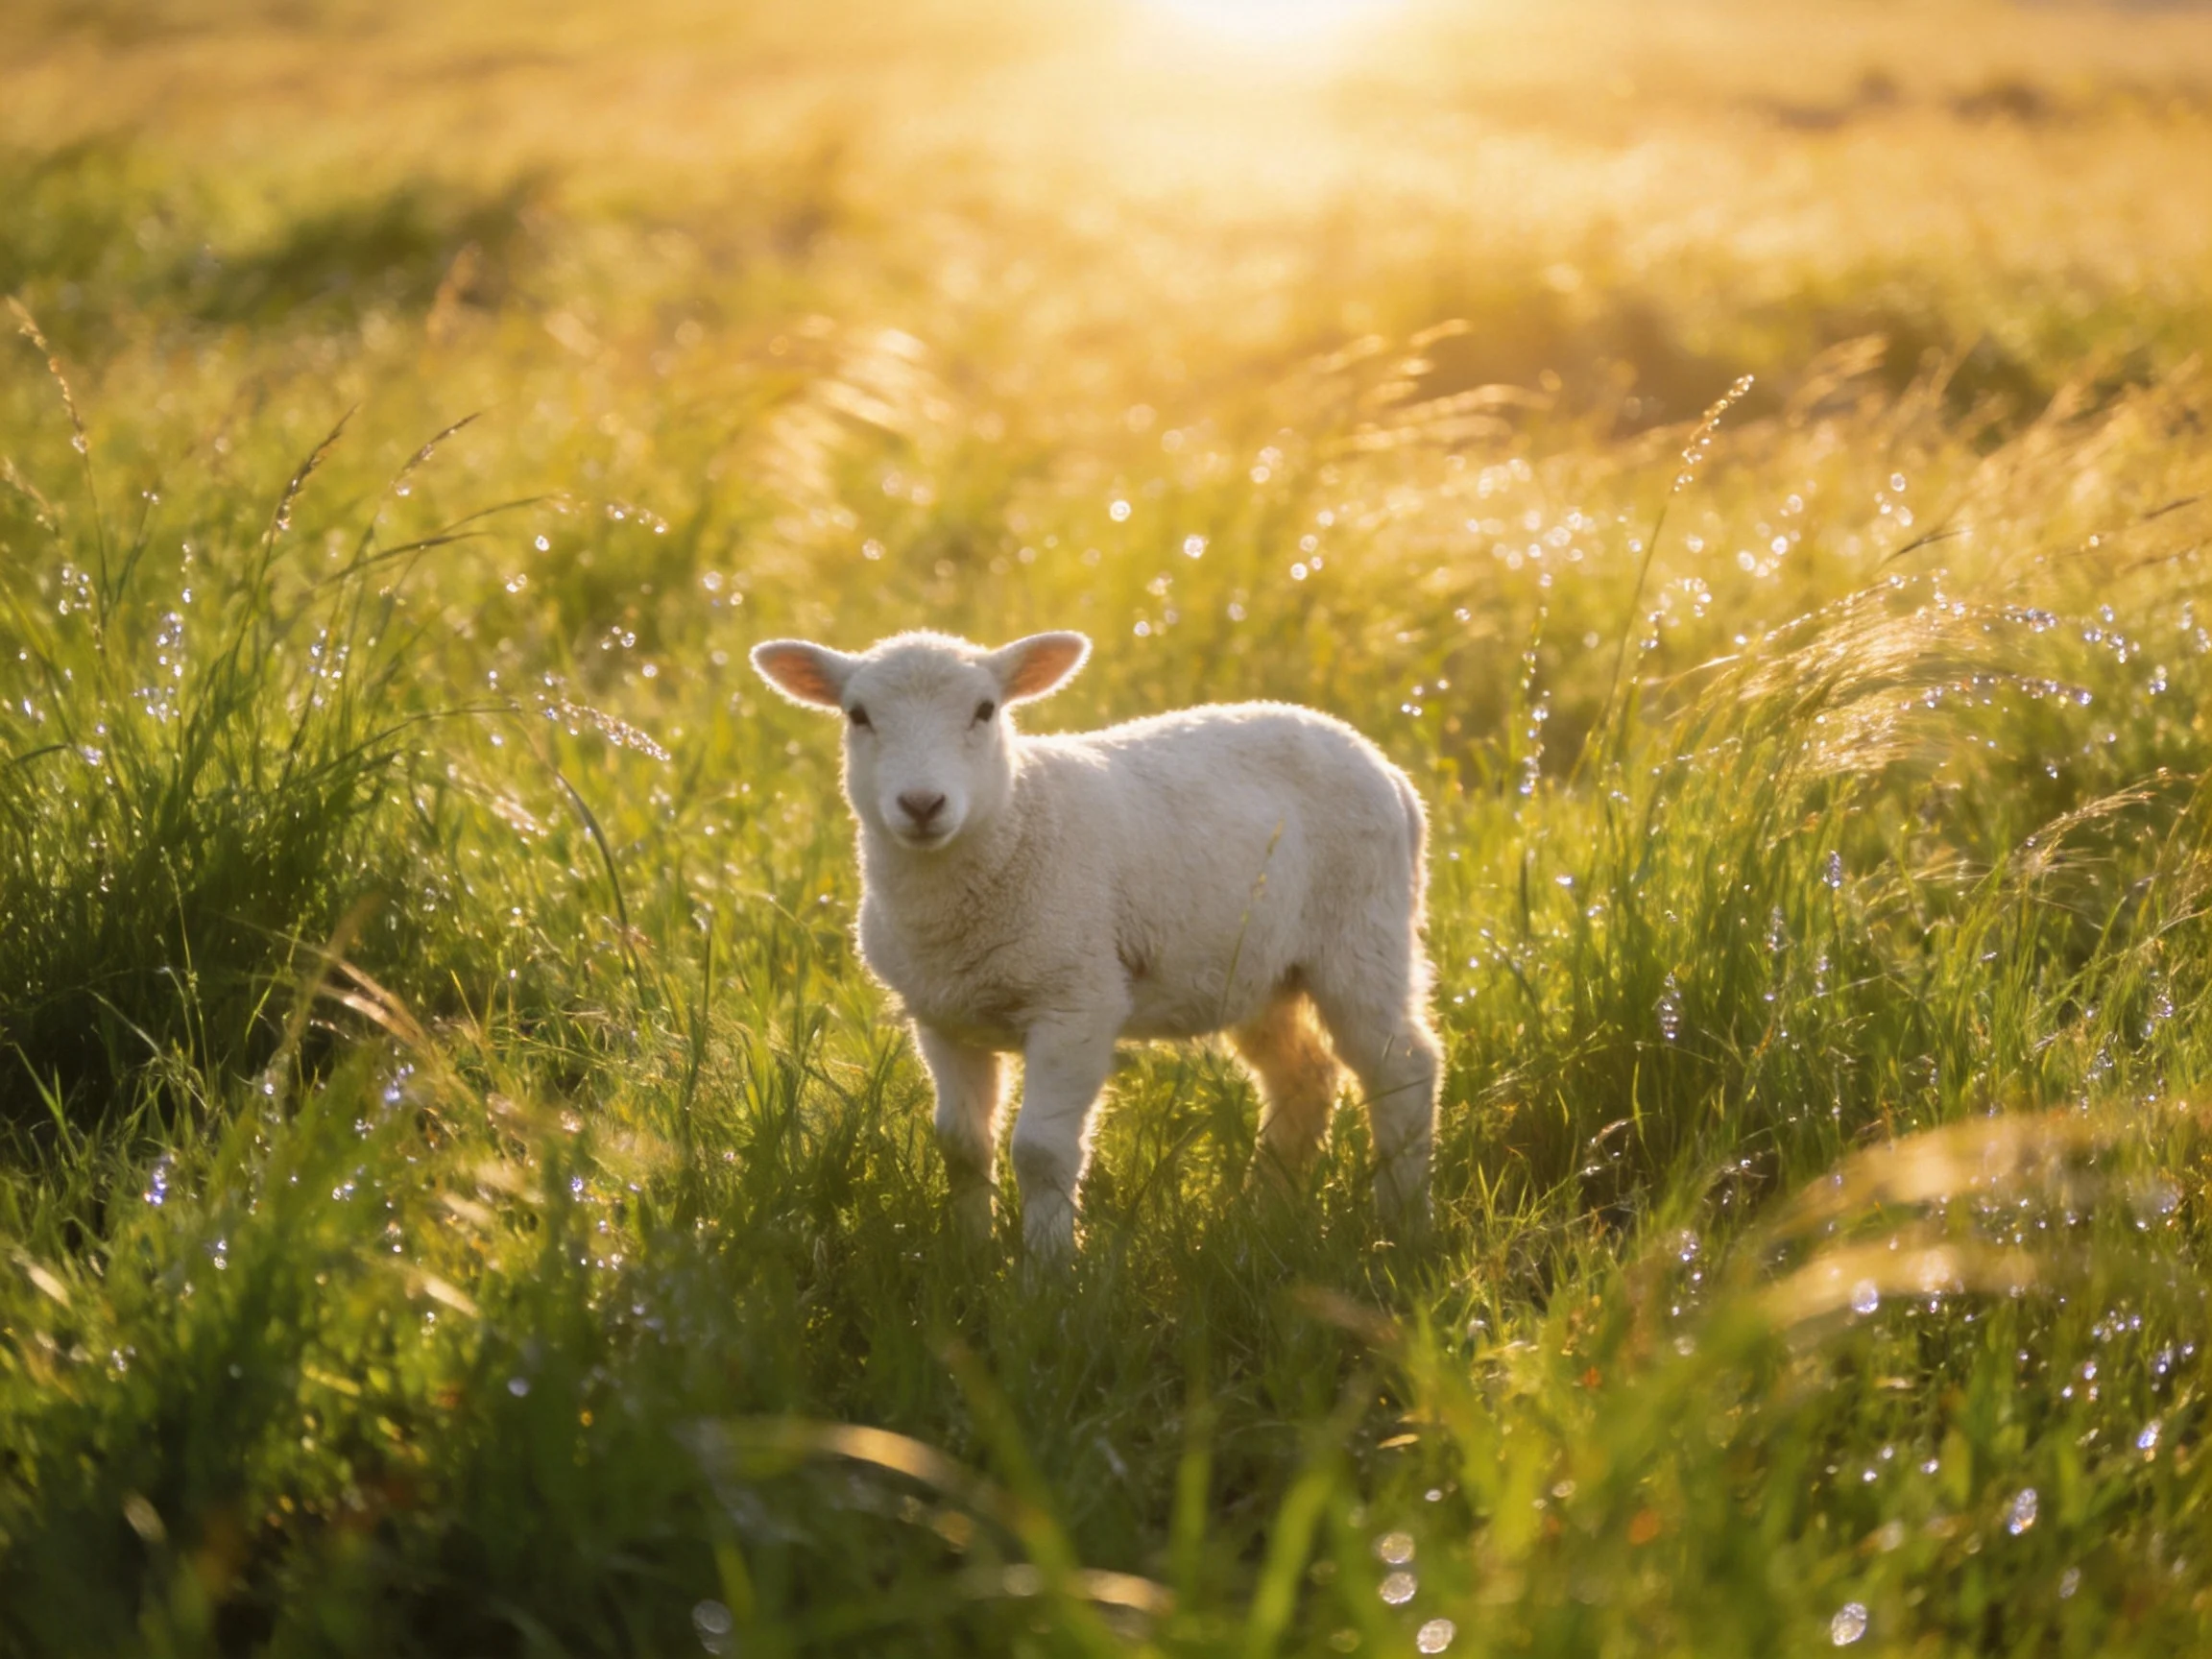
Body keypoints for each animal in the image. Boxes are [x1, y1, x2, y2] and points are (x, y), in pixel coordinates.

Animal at [750, 628, 1442, 1263]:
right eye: (858, 715)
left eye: (985, 709)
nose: (922, 804)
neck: (1013, 825)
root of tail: (1382, 765)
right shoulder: (943, 1017)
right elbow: (961, 1144)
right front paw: (969, 1258)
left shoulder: (1076, 1000)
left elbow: (1040, 1151)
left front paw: (1049, 1275)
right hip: (1259, 967)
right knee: (1303, 1075)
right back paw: (1263, 1215)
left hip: (1363, 931)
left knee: (1402, 1066)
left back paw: (1401, 1226)